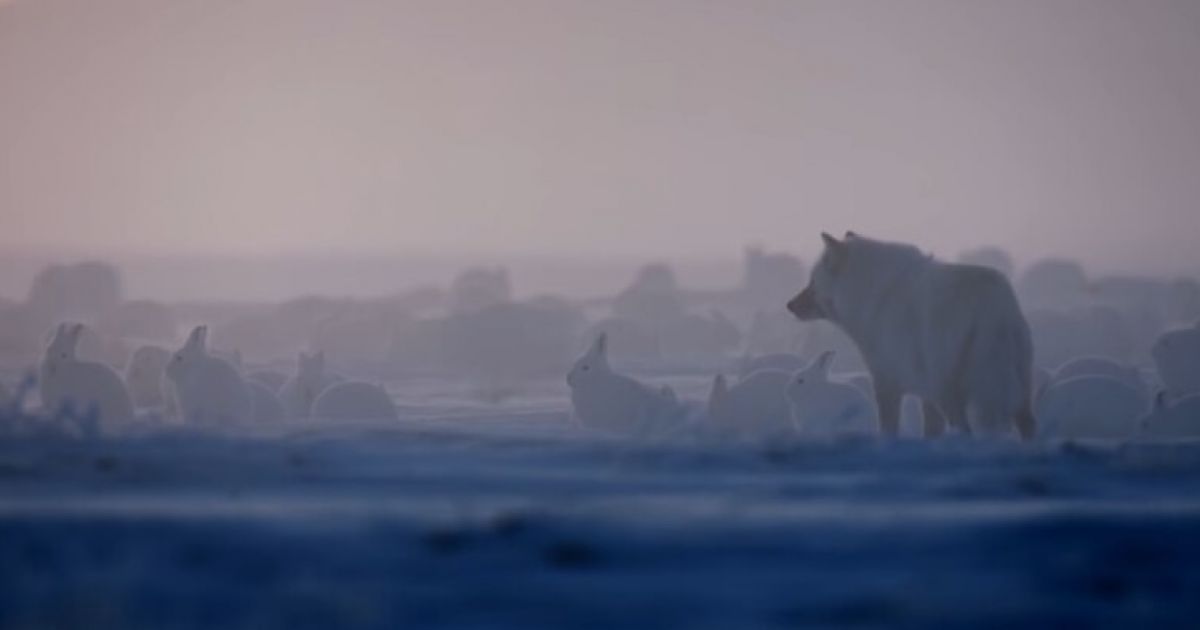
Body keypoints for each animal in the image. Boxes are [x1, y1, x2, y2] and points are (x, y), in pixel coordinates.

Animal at [787, 232, 1035, 440]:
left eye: (812, 281)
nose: (789, 305)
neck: (876, 295)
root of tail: (994, 306)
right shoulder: (926, 395)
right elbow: (930, 430)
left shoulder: (887, 384)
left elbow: (888, 428)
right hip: (1018, 392)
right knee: (1027, 428)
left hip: (950, 393)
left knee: (966, 429)